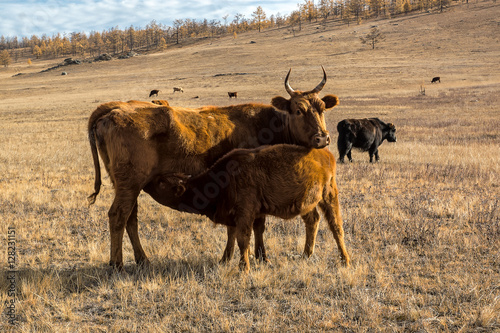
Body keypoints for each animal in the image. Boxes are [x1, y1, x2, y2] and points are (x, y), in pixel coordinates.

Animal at [150, 144, 350, 272]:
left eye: (162, 183)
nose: (149, 181)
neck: (223, 180)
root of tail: (327, 154)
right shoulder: (239, 215)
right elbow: (236, 236)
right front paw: (225, 259)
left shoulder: (245, 214)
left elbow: (243, 238)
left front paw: (243, 267)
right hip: (308, 203)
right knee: (312, 221)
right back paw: (306, 255)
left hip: (329, 195)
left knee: (336, 226)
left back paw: (345, 260)